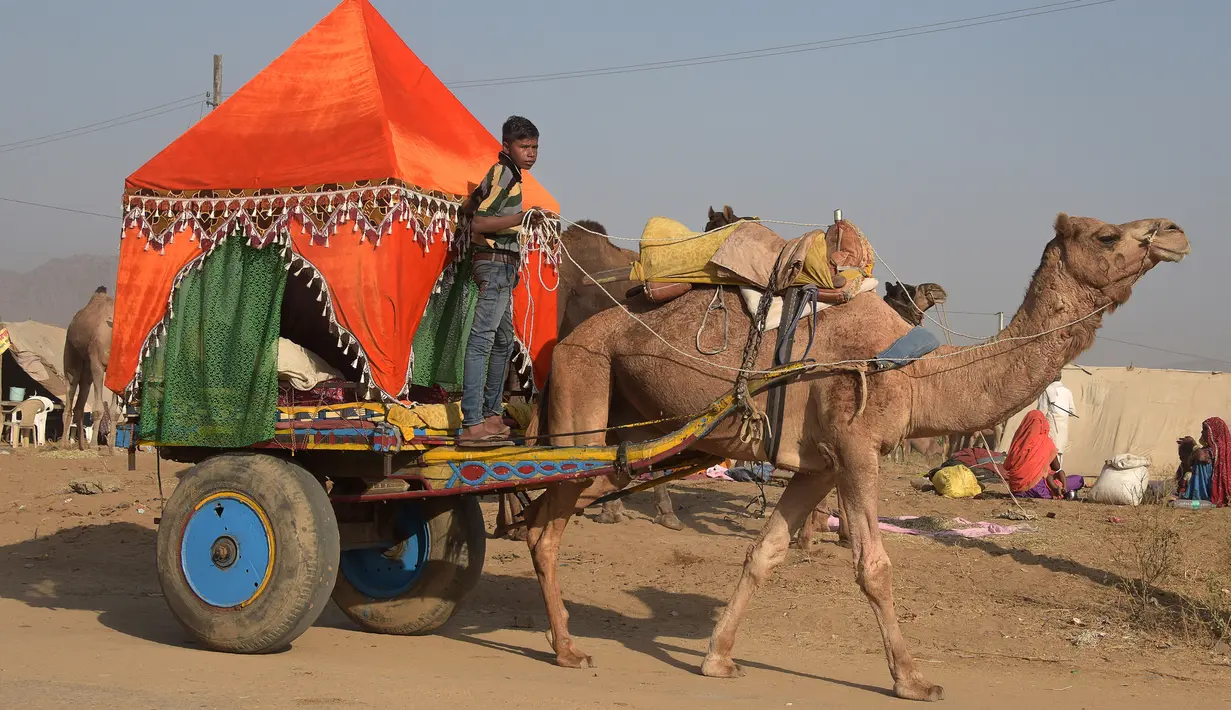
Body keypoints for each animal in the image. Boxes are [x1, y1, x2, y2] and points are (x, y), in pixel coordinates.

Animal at [61, 286, 116, 447]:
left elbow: (114, 411)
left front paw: (112, 447)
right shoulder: (97, 364)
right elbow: (98, 409)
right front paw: (94, 445)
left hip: (87, 367)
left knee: (81, 398)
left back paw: (82, 446)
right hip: (71, 353)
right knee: (71, 386)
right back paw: (64, 444)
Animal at [517, 210, 1181, 698]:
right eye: (1107, 234)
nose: (1174, 231)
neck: (917, 372)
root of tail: (566, 340)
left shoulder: (820, 464)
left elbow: (765, 553)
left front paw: (718, 658)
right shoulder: (857, 446)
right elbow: (874, 566)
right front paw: (913, 680)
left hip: (625, 429)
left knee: (548, 511)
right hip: (584, 396)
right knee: (545, 522)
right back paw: (567, 648)